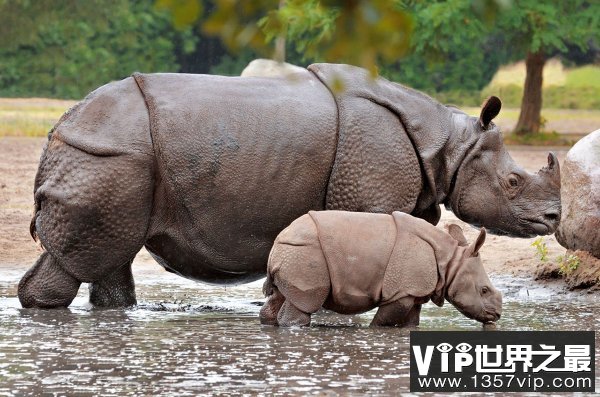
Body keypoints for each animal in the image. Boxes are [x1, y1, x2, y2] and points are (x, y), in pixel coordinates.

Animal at [19, 63, 564, 308]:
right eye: (513, 181)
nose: (555, 218)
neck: (449, 144)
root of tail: (59, 129)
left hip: (113, 161)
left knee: (112, 253)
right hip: (110, 158)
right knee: (84, 258)